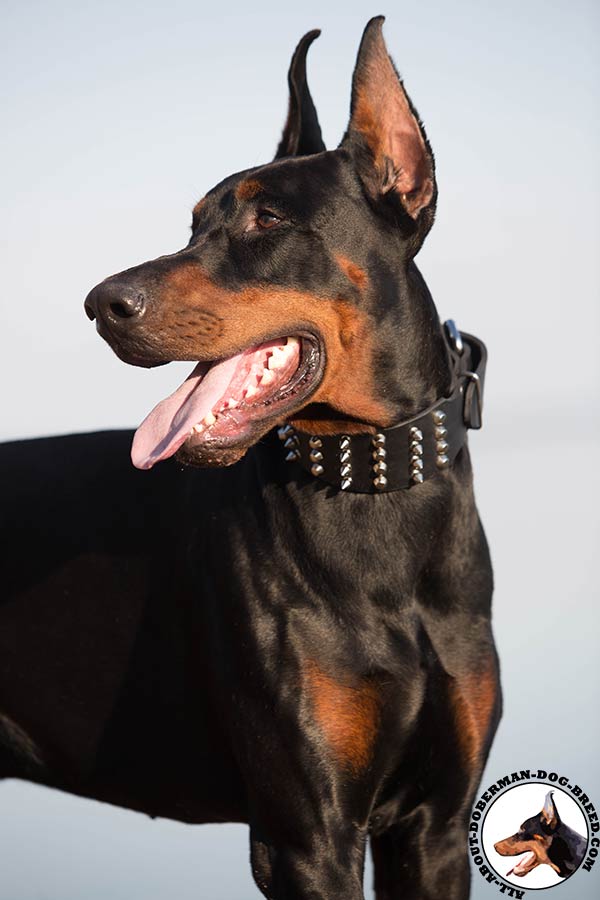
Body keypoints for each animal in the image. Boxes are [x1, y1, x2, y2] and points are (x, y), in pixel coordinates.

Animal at [0, 15, 502, 900]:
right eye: (193, 223)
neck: (374, 496)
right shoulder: (306, 836)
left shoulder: (436, 827)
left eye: (266, 220)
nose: (101, 304)